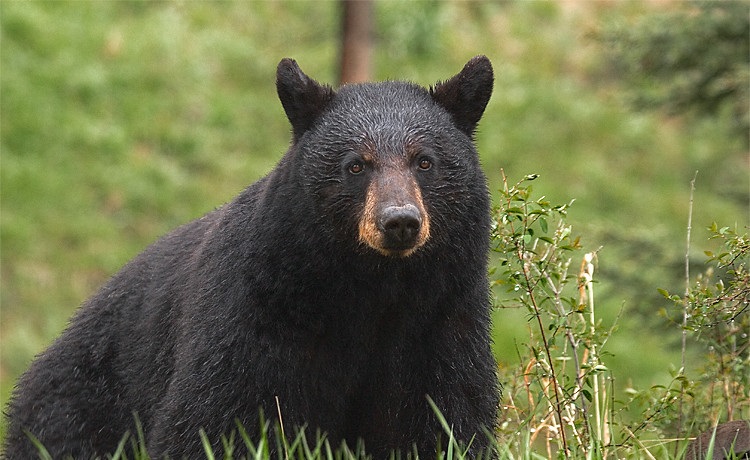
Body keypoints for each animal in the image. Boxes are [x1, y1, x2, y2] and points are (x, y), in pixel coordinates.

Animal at [5, 55, 502, 458]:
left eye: (425, 161)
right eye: (355, 164)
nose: (399, 221)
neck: (369, 289)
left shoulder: (440, 322)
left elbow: (443, 415)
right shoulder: (256, 314)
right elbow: (216, 417)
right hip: (80, 407)